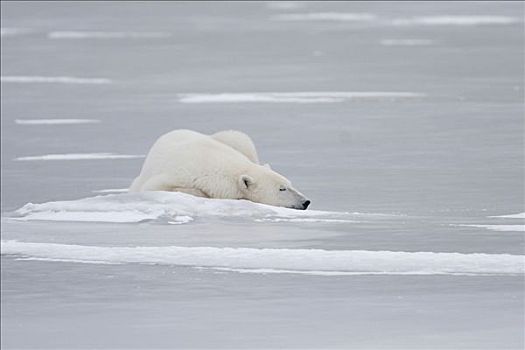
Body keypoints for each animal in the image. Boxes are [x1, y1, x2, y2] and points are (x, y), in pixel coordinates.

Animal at [129, 129, 310, 209]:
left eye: (290, 184)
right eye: (282, 189)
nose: (306, 201)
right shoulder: (173, 174)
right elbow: (155, 187)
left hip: (236, 140)